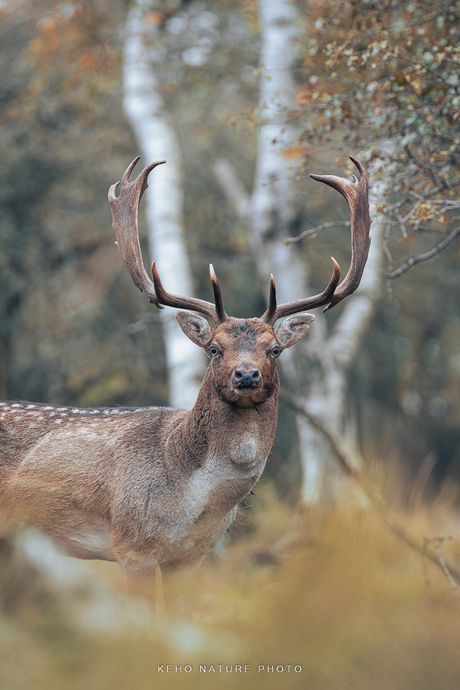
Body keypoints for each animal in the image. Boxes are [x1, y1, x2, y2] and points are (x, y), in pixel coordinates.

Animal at [0, 155, 370, 576]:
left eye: (275, 349)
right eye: (214, 348)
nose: (246, 374)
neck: (193, 502)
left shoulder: (194, 557)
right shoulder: (132, 545)